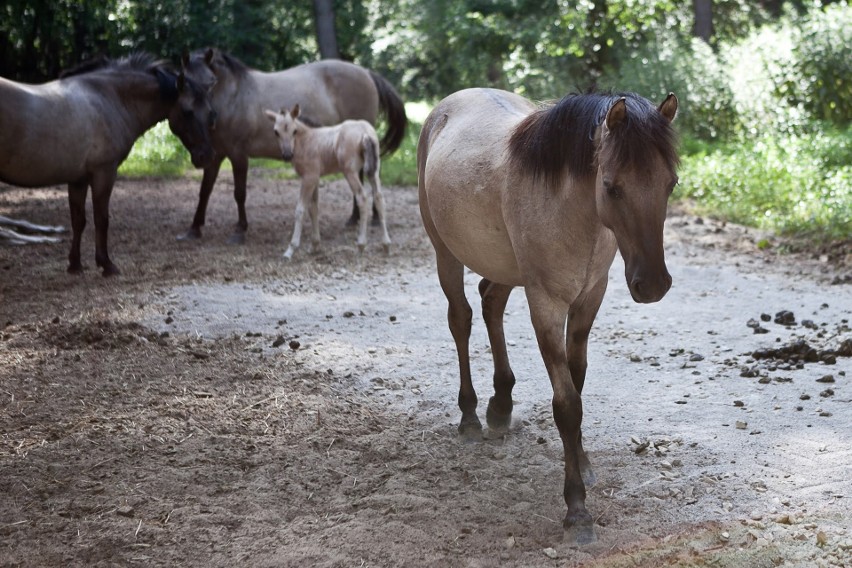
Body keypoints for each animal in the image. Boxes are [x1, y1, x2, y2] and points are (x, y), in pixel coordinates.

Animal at [0, 53, 216, 276]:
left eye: (210, 112)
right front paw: (107, 264)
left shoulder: (78, 180)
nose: (206, 156)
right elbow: (101, 219)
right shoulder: (104, 173)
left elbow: (78, 220)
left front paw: (75, 265)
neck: (109, 99)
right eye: (187, 112)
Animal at [173, 48, 406, 242]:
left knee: (370, 175)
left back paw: (373, 218)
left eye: (212, 82)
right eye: (185, 82)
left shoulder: (239, 155)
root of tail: (366, 73)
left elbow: (239, 193)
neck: (233, 96)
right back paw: (355, 217)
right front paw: (194, 229)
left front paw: (240, 231)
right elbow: (204, 191)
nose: (210, 116)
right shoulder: (215, 156)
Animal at [418, 87, 680, 540]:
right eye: (611, 187)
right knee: (461, 319)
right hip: (446, 254)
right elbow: (566, 404)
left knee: (491, 302)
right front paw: (577, 508)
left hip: (504, 267)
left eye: (671, 184)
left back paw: (501, 404)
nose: (653, 285)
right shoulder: (545, 303)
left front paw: (584, 462)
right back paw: (469, 416)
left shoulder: (589, 298)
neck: (570, 210)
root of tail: (445, 107)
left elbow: (577, 383)